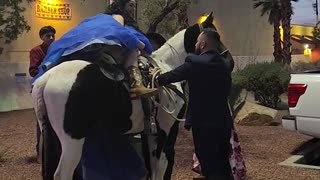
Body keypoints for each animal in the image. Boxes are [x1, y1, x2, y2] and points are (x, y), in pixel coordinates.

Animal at [31, 11, 232, 179]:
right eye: (216, 35)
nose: (229, 60)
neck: (166, 67)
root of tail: (46, 79)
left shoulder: (148, 132)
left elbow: (152, 165)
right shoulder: (166, 129)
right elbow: (162, 165)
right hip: (72, 141)